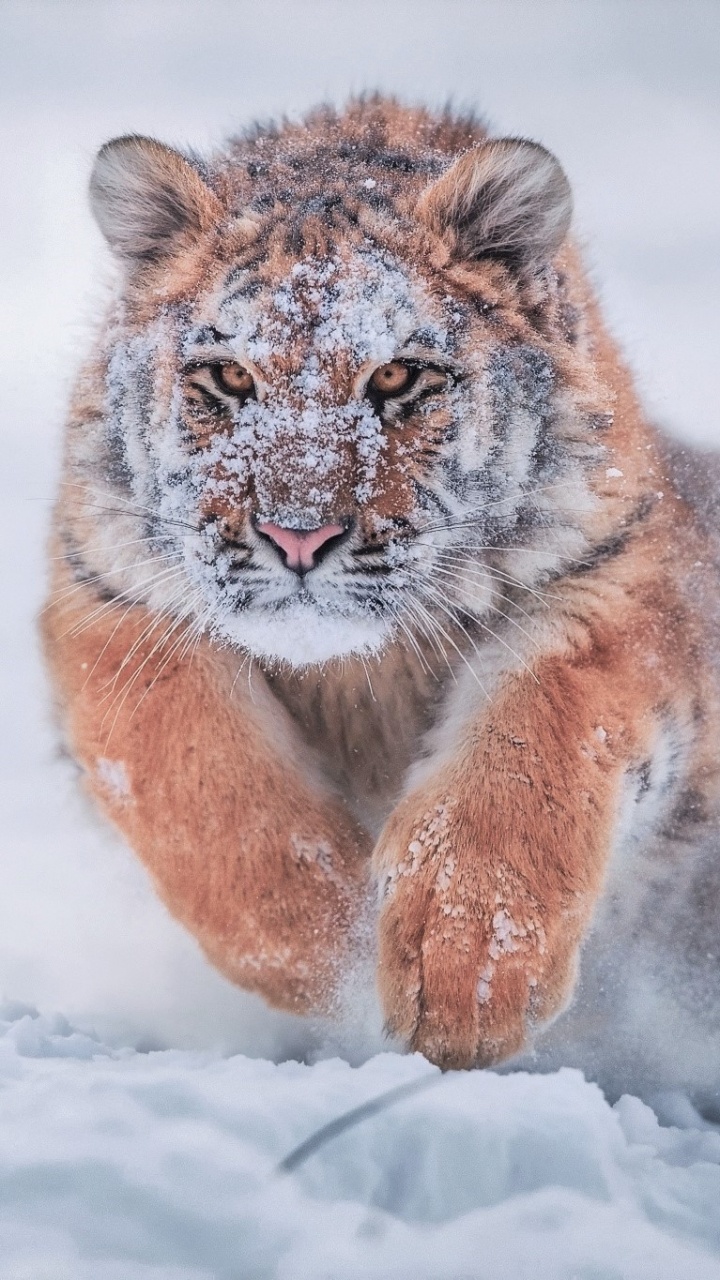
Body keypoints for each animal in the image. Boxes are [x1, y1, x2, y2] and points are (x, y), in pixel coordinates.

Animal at [42, 96, 720, 1090]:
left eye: (397, 376)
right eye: (230, 378)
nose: (297, 534)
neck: (358, 676)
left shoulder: (614, 590)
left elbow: (532, 750)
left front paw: (464, 974)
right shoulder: (113, 604)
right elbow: (201, 782)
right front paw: (329, 952)